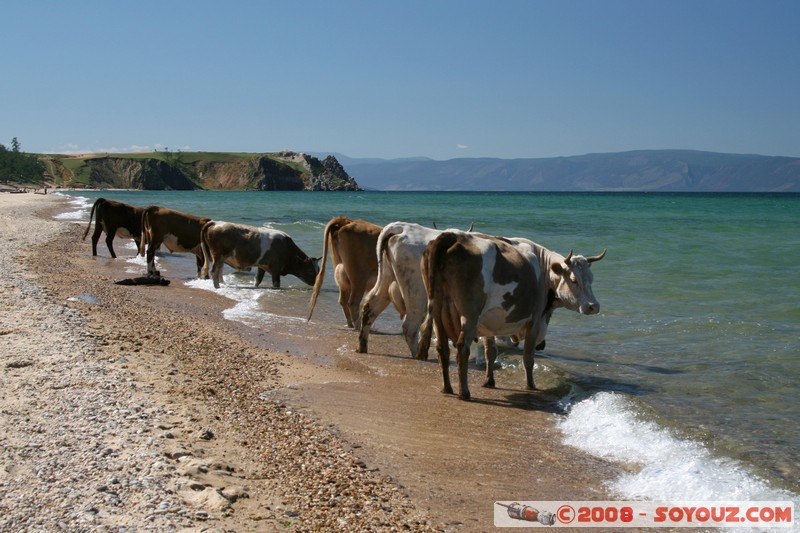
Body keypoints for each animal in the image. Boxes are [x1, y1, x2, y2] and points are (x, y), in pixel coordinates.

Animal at [416, 232, 604, 400]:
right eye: (574, 279)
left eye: (591, 278)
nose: (593, 306)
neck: (544, 268)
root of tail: (452, 236)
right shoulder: (535, 319)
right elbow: (528, 357)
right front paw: (531, 386)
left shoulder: (489, 323)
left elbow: (491, 352)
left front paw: (489, 381)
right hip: (469, 315)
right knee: (462, 348)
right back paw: (464, 392)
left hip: (438, 311)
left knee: (442, 348)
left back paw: (447, 388)